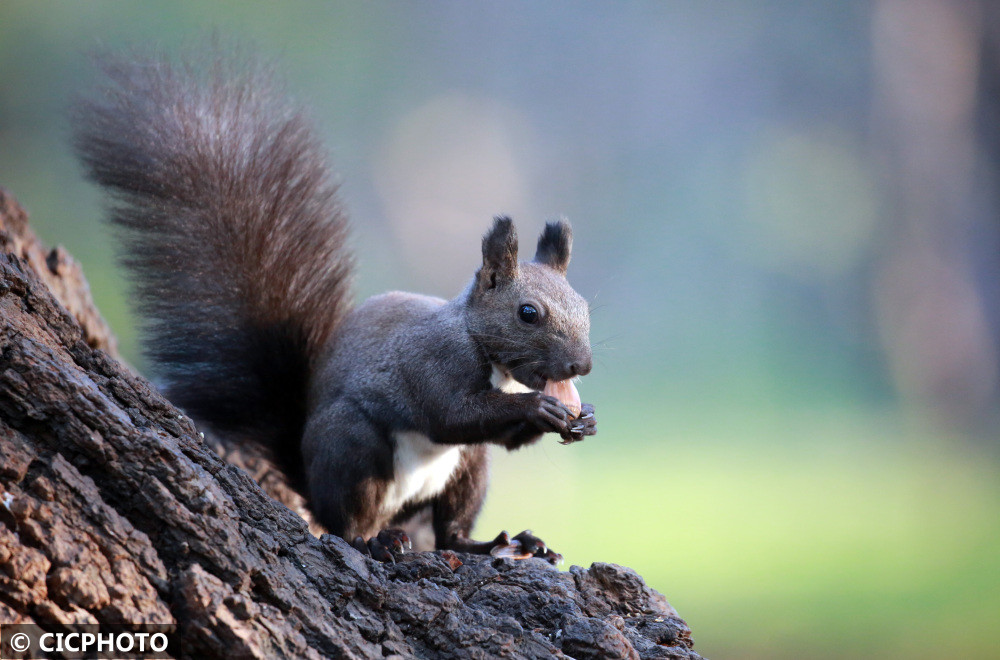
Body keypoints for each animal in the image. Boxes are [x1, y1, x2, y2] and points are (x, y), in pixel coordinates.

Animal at [76, 54, 600, 564]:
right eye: (527, 313)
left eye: (585, 308)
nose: (582, 365)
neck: (482, 347)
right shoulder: (432, 361)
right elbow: (452, 414)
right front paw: (539, 406)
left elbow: (502, 436)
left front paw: (585, 418)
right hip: (350, 446)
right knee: (346, 523)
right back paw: (374, 542)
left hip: (467, 468)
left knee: (450, 532)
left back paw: (496, 545)